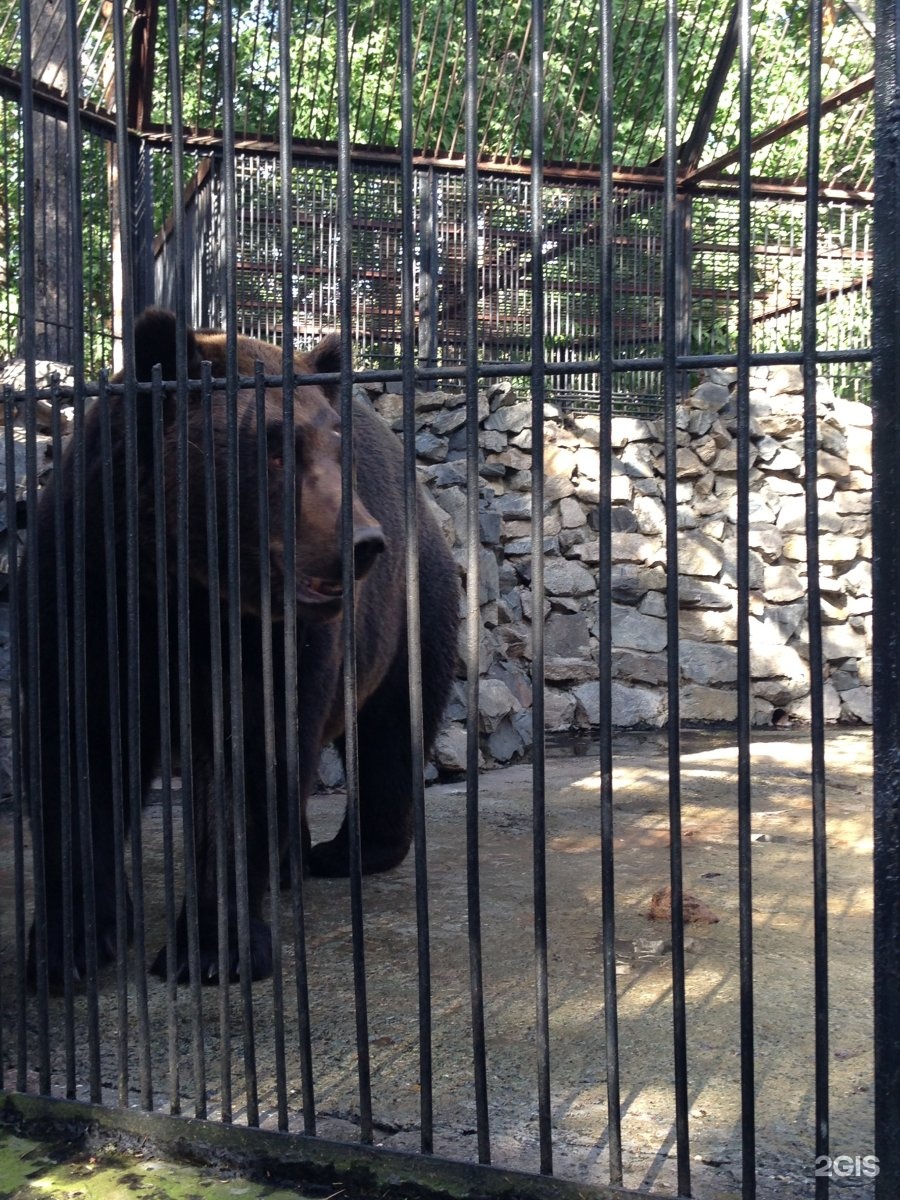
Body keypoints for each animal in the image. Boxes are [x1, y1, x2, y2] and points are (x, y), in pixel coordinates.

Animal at [24, 307, 460, 984]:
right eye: (276, 448)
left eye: (337, 447)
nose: (361, 543)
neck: (185, 583)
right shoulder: (87, 592)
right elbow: (77, 751)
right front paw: (66, 948)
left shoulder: (271, 641)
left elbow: (250, 758)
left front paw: (211, 949)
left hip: (410, 610)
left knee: (391, 726)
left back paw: (345, 851)